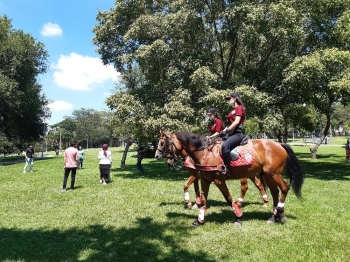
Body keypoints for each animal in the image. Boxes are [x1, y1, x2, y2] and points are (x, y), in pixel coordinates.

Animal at [155, 131, 304, 227]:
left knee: (284, 188)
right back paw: (274, 216)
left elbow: (228, 198)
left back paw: (279, 212)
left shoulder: (218, 180)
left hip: (273, 174)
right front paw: (199, 219)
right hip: (267, 174)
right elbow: (203, 199)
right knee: (274, 191)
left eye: (162, 143)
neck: (204, 152)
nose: (157, 156)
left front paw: (238, 217)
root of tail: (279, 144)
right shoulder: (204, 179)